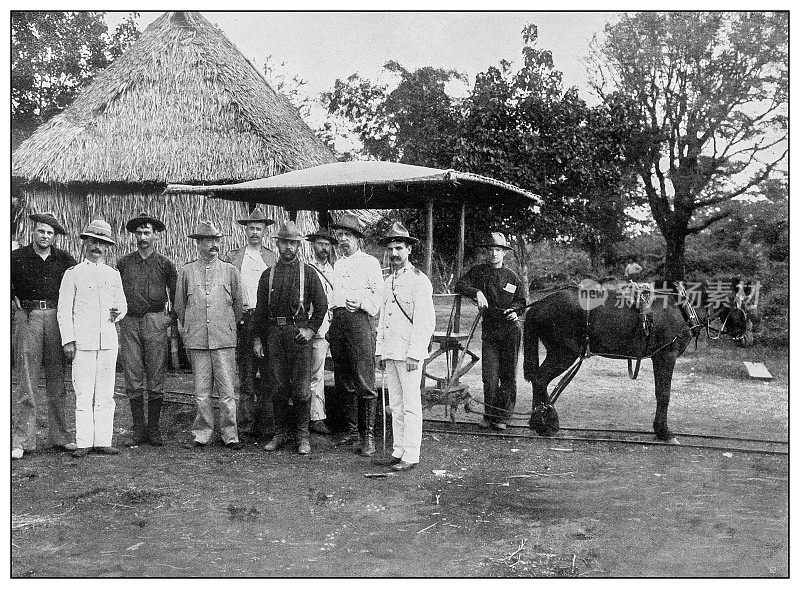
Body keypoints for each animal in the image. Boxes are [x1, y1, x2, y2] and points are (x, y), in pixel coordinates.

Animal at [520, 280, 748, 440]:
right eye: (744, 303)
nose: (745, 336)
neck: (681, 308)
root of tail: (538, 306)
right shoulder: (667, 356)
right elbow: (664, 394)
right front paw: (664, 432)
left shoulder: (659, 357)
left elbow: (659, 392)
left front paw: (659, 429)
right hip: (564, 353)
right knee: (540, 379)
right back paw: (548, 422)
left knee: (538, 379)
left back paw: (537, 421)